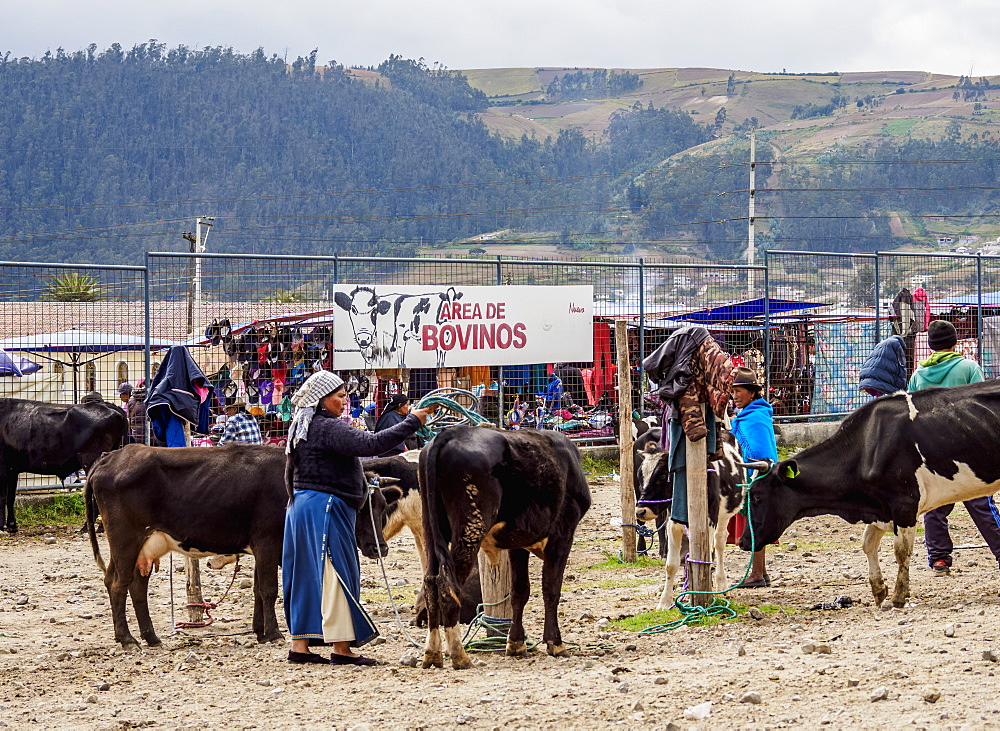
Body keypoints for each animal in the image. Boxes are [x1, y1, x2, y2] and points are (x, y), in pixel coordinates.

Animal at [0, 398, 126, 536]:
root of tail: (107, 406)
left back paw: (87, 527)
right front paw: (12, 526)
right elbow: (10, 497)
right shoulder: (12, 469)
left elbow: (2, 497)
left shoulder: (3, 466)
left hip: (91, 459)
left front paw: (2, 527)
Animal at [84, 444, 400, 648]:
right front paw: (274, 633)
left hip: (146, 546)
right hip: (126, 539)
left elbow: (259, 589)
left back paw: (150, 637)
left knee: (135, 586)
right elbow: (269, 589)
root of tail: (112, 456)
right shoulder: (268, 542)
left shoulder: (263, 548)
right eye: (360, 506)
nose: (380, 548)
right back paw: (127, 639)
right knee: (118, 584)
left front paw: (260, 631)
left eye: (382, 505)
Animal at [418, 426, 588, 672]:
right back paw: (460, 656)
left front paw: (516, 643)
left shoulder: (518, 543)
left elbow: (519, 591)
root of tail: (450, 433)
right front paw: (555, 643)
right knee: (446, 587)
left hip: (431, 530)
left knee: (430, 584)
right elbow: (551, 590)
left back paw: (432, 654)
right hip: (471, 527)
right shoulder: (562, 535)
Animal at [636, 426, 748, 608]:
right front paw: (665, 602)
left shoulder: (708, 523)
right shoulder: (673, 525)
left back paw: (721, 584)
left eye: (662, 476)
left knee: (719, 543)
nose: (640, 511)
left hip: (724, 516)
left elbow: (705, 559)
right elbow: (671, 564)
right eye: (640, 476)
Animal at [740, 380, 1000, 608]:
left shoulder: (905, 504)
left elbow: (901, 551)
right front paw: (878, 590)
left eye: (757, 496)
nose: (743, 542)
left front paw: (898, 596)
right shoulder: (879, 507)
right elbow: (868, 545)